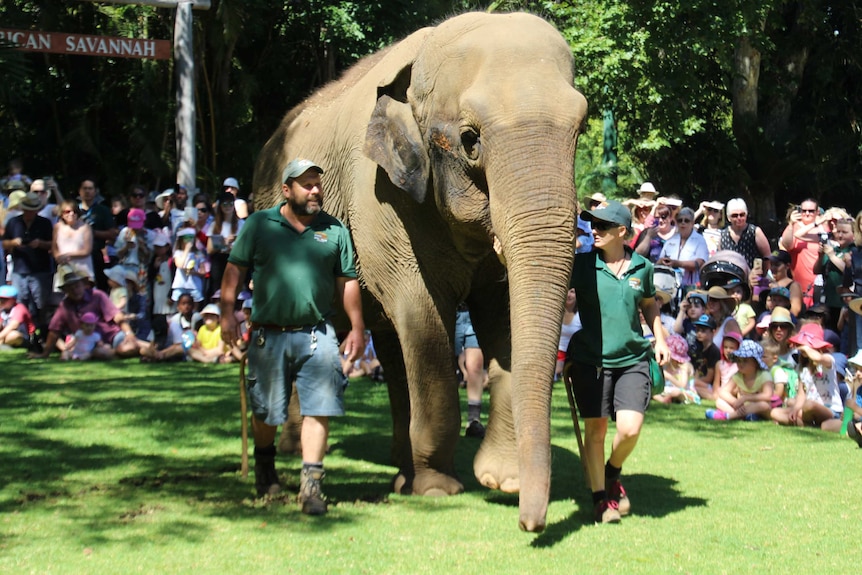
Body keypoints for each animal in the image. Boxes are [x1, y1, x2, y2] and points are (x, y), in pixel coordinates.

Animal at [250, 11, 588, 532]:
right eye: (470, 140)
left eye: (583, 127)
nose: (530, 524)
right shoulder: (380, 199)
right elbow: (423, 315)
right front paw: (438, 488)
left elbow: (504, 317)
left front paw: (500, 480)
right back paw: (296, 448)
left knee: (390, 347)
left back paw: (399, 466)